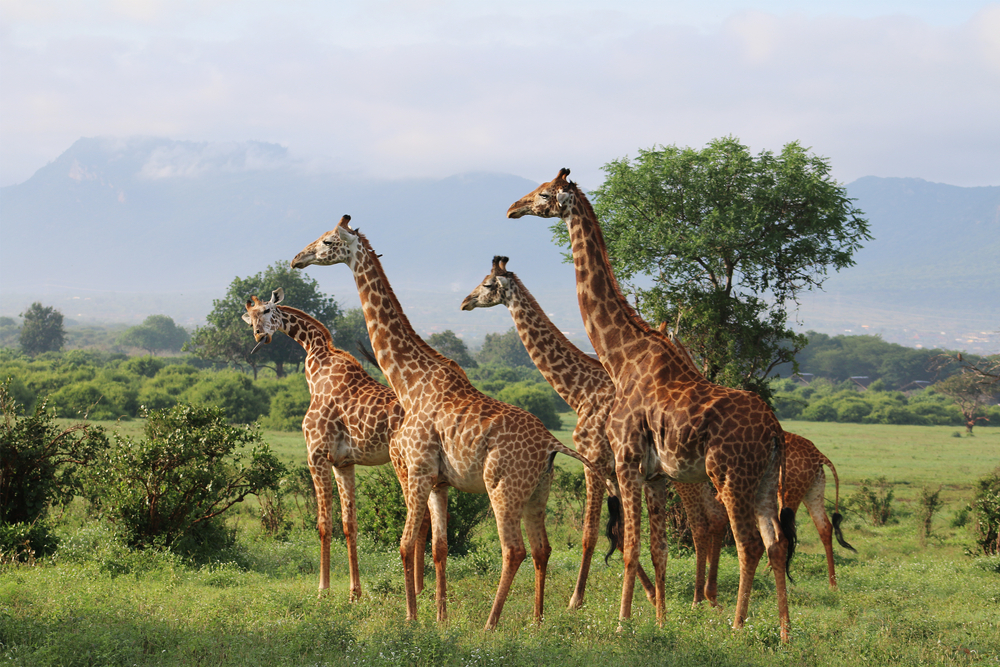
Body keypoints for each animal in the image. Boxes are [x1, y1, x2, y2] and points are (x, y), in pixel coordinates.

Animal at [242, 290, 430, 604]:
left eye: (268, 310)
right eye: (251, 317)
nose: (260, 335)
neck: (315, 369)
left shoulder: (315, 455)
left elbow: (322, 523)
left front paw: (323, 589)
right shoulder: (344, 463)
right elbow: (349, 524)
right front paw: (355, 592)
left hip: (405, 464)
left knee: (422, 518)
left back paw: (417, 589)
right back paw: (424, 588)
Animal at [292, 215, 604, 632]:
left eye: (327, 241)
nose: (297, 259)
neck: (408, 381)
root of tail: (552, 444)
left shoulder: (418, 468)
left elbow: (407, 544)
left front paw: (411, 617)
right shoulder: (439, 481)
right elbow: (438, 546)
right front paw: (440, 616)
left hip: (502, 487)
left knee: (514, 549)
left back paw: (491, 623)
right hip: (538, 492)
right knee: (542, 548)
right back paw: (537, 622)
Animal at [462, 253, 664, 608]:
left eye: (486, 284)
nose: (465, 302)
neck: (580, 391)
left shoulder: (595, 461)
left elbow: (590, 533)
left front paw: (575, 599)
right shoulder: (608, 468)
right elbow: (621, 532)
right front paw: (650, 594)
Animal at [508, 170, 796, 644]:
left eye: (545, 194)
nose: (514, 208)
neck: (621, 355)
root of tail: (774, 430)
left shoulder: (625, 460)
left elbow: (628, 545)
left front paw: (622, 622)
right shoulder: (657, 474)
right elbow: (658, 550)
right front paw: (660, 621)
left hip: (730, 476)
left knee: (747, 544)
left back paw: (737, 624)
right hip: (765, 480)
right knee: (775, 545)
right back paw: (785, 632)